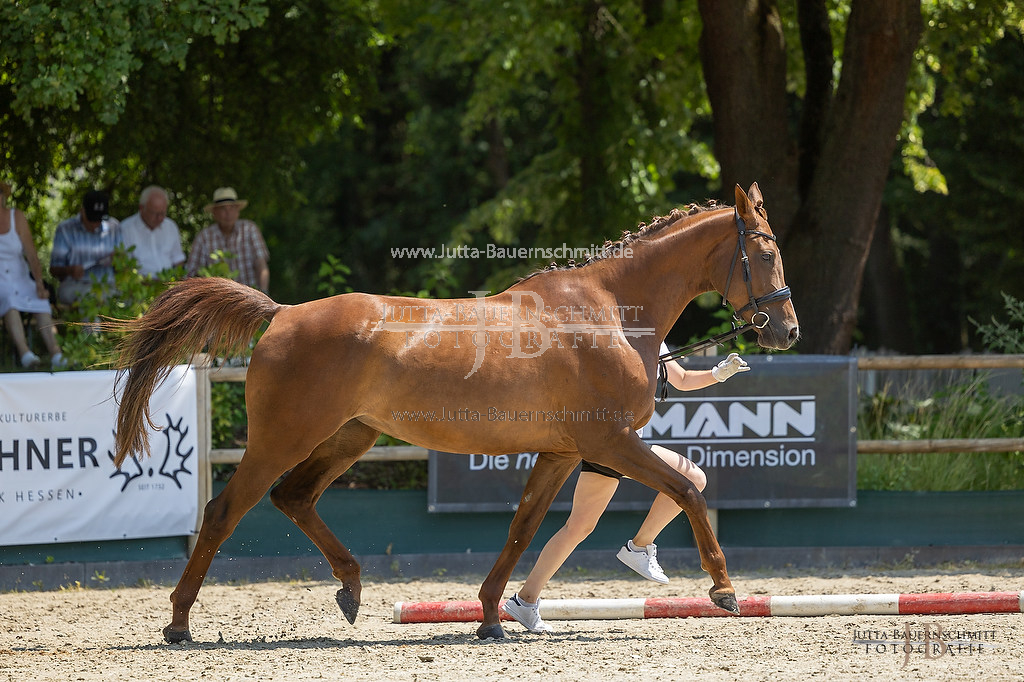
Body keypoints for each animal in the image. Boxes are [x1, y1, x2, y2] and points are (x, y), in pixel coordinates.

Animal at [114, 183, 798, 638]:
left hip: (350, 436)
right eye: (765, 252)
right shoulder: (608, 444)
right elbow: (688, 490)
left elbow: (522, 528)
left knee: (295, 498)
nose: (786, 331)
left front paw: (493, 615)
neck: (608, 310)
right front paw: (724, 589)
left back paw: (352, 587)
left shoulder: (563, 452)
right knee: (225, 511)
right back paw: (179, 622)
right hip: (284, 438)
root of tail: (281, 313)